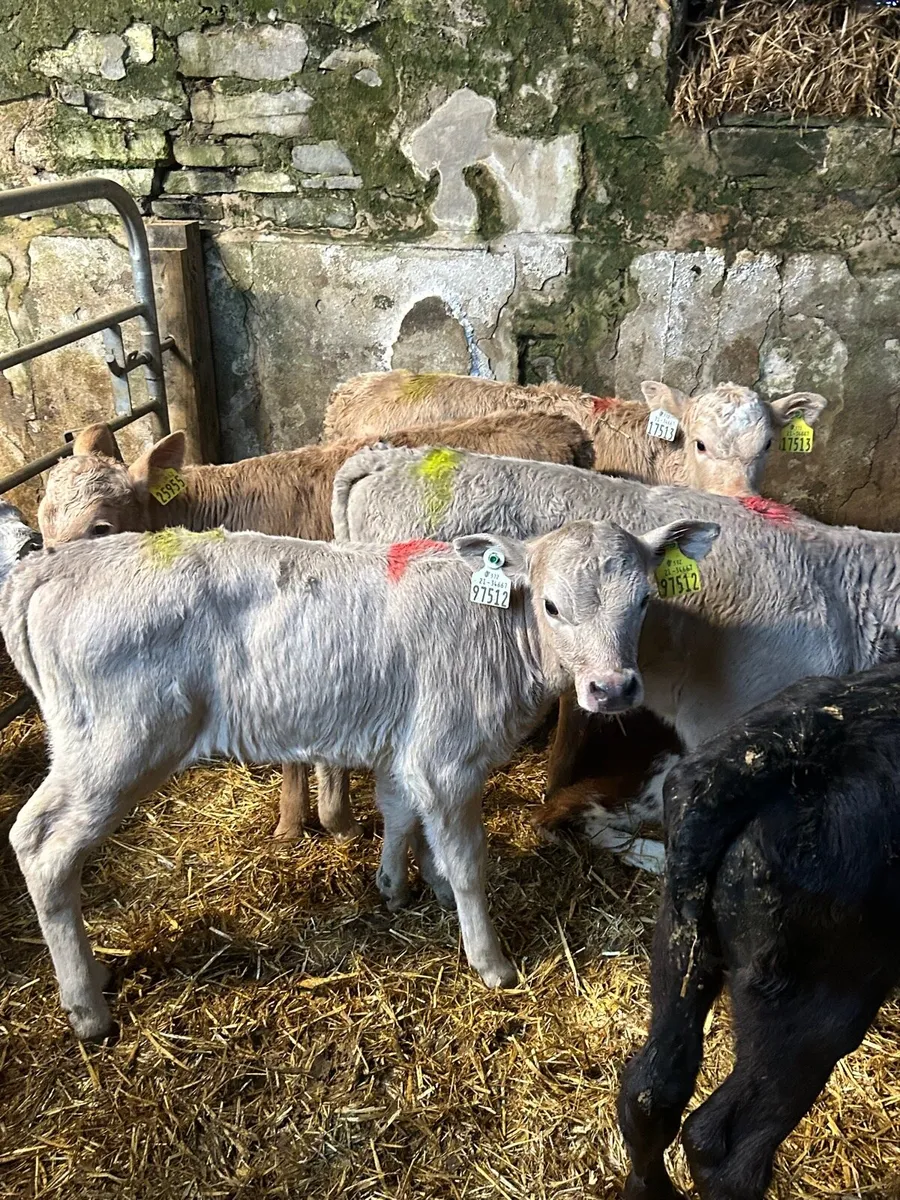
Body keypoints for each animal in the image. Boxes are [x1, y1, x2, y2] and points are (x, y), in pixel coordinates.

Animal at [1, 515, 718, 1038]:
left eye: (645, 600)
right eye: (550, 606)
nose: (614, 688)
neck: (492, 629)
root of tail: (54, 563)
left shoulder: (410, 745)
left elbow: (403, 814)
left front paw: (403, 885)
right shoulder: (447, 754)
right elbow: (467, 857)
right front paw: (490, 960)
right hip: (115, 745)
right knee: (40, 844)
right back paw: (87, 1006)